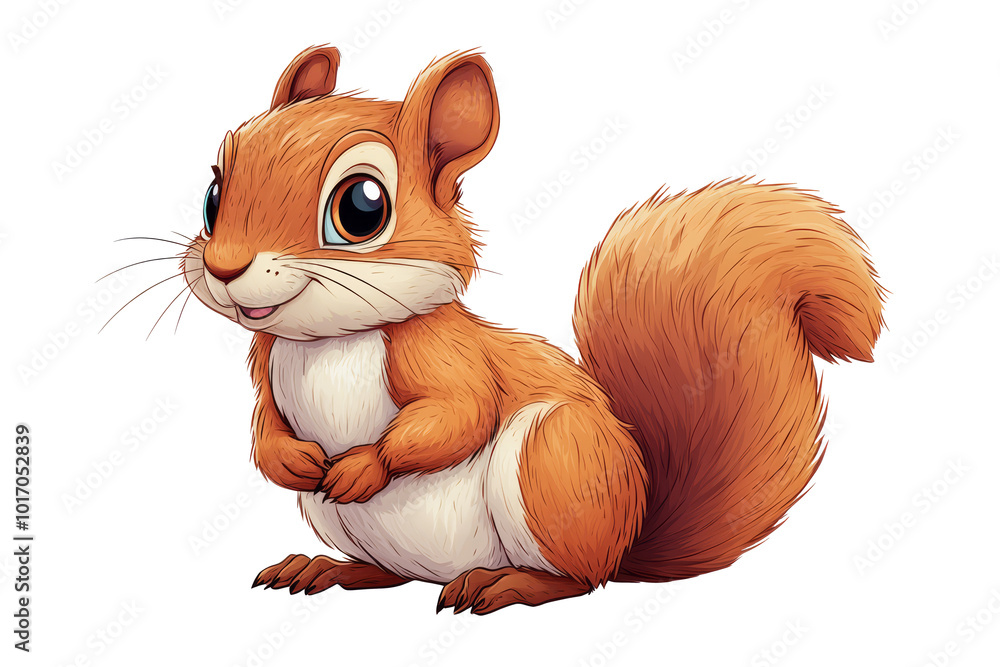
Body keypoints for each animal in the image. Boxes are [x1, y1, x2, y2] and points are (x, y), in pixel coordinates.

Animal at [181, 45, 885, 614]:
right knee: (388, 574)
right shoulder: (266, 361)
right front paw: (288, 458)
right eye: (212, 197)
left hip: (553, 460)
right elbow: (264, 422)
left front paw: (363, 465)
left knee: (579, 580)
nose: (225, 267)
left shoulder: (443, 354)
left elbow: (458, 413)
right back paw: (326, 568)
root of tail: (626, 540)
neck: (331, 340)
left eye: (361, 207)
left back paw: (505, 584)